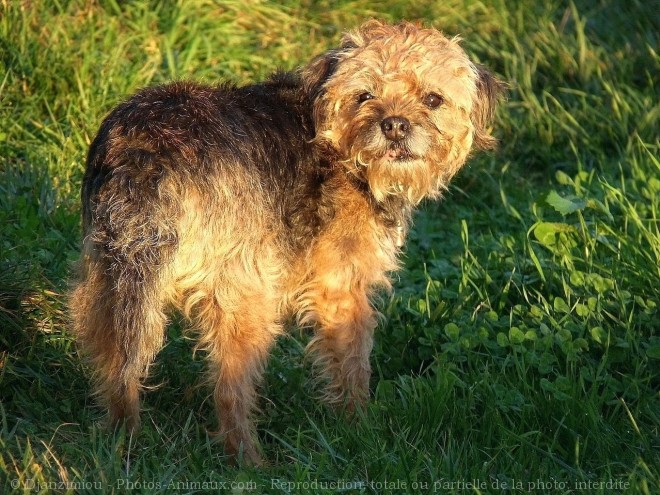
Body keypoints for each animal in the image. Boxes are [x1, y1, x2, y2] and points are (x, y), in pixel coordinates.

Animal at [71, 18, 500, 464]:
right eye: (365, 95)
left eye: (433, 99)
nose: (395, 125)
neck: (338, 147)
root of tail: (147, 151)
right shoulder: (341, 290)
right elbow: (353, 361)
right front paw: (360, 430)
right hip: (245, 298)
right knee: (229, 389)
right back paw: (249, 461)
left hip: (105, 282)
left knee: (116, 367)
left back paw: (119, 438)